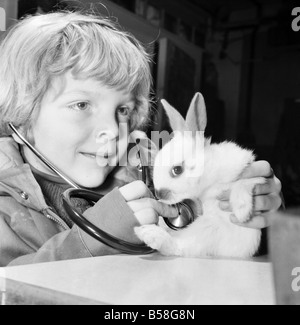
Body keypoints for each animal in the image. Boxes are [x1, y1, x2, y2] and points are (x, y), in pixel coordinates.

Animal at [135, 92, 264, 256]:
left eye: (177, 170)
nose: (159, 194)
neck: (208, 181)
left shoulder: (248, 171)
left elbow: (243, 183)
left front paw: (242, 213)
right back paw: (146, 232)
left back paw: (147, 233)